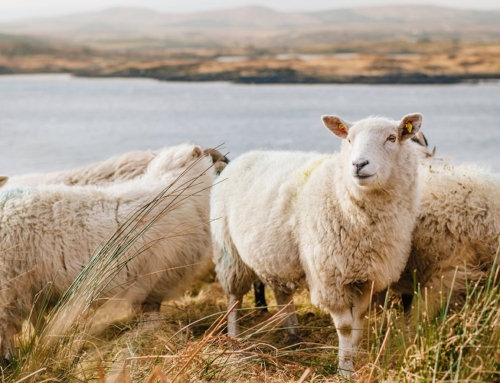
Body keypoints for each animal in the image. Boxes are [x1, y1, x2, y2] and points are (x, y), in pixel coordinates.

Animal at [209, 112, 424, 376]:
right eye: (349, 139)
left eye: (392, 138)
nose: (358, 165)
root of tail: (241, 158)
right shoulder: (330, 277)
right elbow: (345, 327)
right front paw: (345, 369)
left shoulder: (367, 276)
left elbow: (359, 320)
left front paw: (355, 355)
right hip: (228, 251)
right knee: (234, 299)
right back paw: (234, 341)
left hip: (275, 256)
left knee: (282, 294)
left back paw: (293, 335)